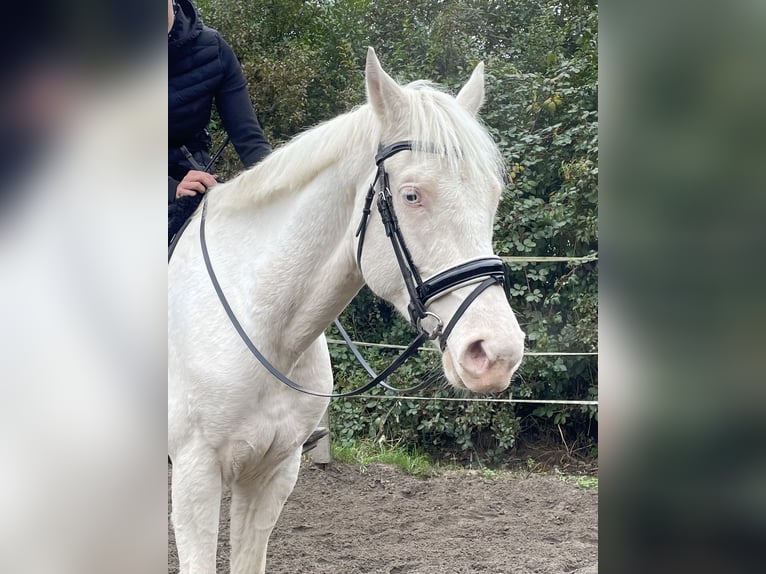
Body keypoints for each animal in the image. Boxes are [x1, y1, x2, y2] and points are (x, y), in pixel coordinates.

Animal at [168, 48, 528, 574]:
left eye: (493, 197)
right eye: (411, 195)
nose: (496, 353)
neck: (262, 329)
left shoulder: (273, 473)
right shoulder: (195, 477)